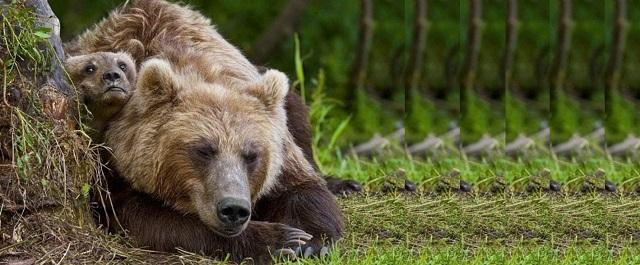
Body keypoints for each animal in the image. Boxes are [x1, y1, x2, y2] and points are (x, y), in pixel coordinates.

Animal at [67, 0, 348, 260]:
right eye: (203, 150)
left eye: (251, 155)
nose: (233, 209)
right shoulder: (114, 167)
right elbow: (149, 219)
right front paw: (279, 239)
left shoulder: (281, 150)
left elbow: (301, 188)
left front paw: (311, 242)